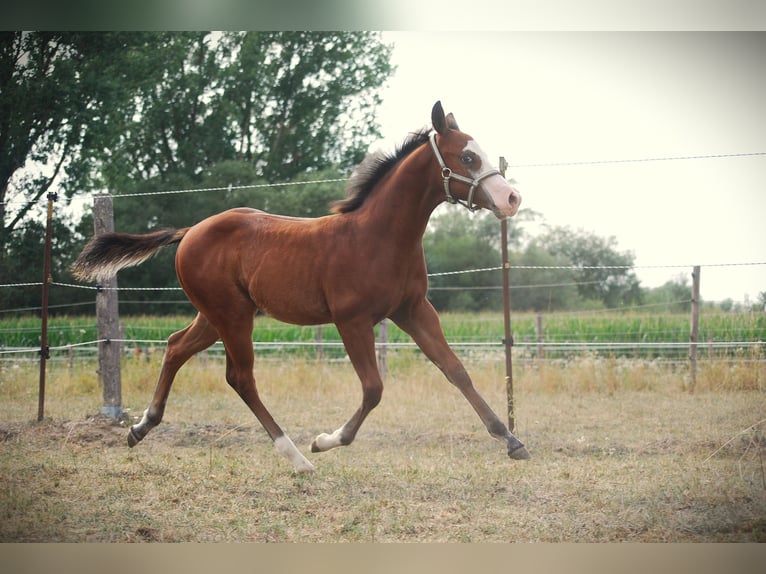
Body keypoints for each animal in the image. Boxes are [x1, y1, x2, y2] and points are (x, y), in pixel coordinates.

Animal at [72, 101, 529, 472]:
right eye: (467, 156)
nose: (511, 199)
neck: (378, 237)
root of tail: (189, 232)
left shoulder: (413, 309)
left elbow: (455, 370)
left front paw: (512, 441)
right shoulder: (351, 320)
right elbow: (374, 388)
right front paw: (326, 440)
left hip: (216, 314)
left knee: (175, 346)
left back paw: (141, 427)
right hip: (232, 316)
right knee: (240, 378)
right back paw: (296, 457)